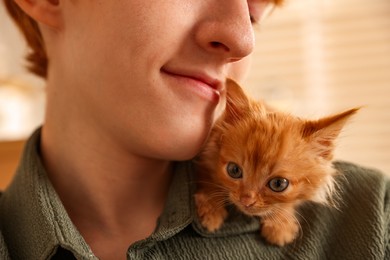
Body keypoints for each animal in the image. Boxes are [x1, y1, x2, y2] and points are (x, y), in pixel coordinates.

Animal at [193, 79, 358, 246]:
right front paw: (211, 208)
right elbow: (208, 180)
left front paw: (280, 223)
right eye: (234, 170)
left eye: (278, 184)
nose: (246, 200)